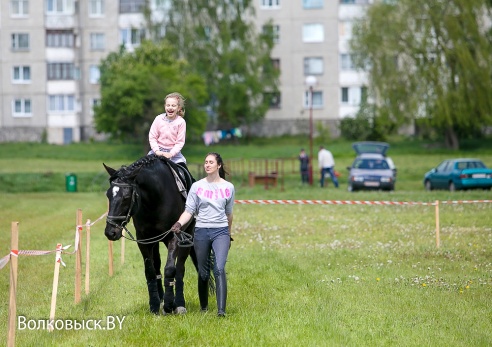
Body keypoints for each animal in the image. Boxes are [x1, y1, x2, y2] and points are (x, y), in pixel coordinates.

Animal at [103, 155, 196, 316]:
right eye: (108, 195)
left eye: (126, 197)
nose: (111, 232)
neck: (156, 198)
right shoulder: (144, 239)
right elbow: (150, 271)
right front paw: (155, 305)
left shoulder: (174, 236)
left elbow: (170, 269)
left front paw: (170, 305)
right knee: (157, 265)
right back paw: (161, 299)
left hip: (186, 238)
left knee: (180, 268)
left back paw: (179, 304)